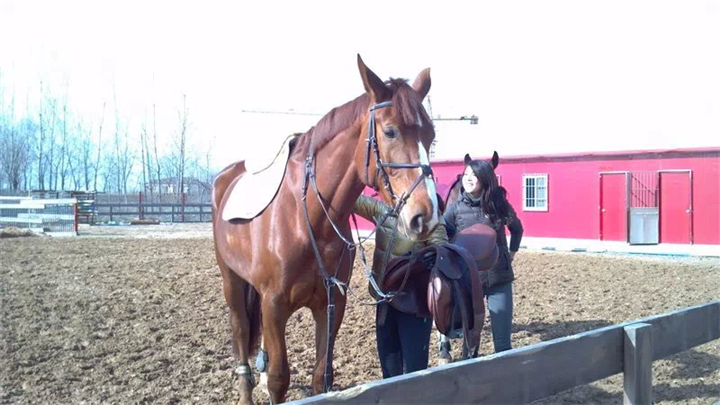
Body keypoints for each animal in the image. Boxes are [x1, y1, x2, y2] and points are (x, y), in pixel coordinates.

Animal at [212, 55, 439, 404]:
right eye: (390, 131)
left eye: (430, 135)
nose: (424, 215)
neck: (308, 219)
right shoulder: (274, 305)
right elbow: (279, 379)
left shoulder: (330, 305)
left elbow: (322, 377)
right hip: (232, 283)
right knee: (240, 339)